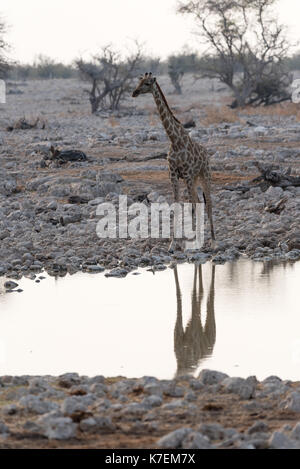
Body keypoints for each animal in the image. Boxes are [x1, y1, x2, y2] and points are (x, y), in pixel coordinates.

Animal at [132, 71, 216, 250]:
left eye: (147, 83)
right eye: (139, 82)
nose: (134, 92)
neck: (175, 140)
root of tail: (206, 153)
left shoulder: (187, 174)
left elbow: (191, 207)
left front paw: (190, 242)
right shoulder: (174, 174)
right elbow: (177, 206)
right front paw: (173, 243)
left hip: (204, 174)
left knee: (208, 203)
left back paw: (214, 241)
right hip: (195, 179)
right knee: (200, 201)